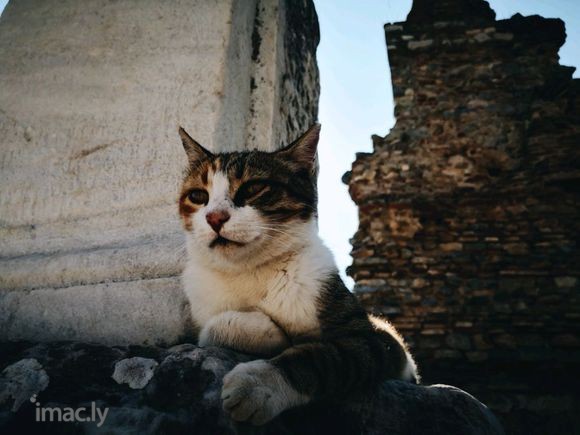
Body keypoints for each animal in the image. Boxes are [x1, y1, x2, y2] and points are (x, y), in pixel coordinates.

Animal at [177, 124, 416, 428]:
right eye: (198, 196)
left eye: (253, 187)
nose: (215, 217)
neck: (249, 270)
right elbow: (213, 329)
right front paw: (269, 331)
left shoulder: (371, 339)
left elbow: (319, 357)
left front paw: (259, 384)